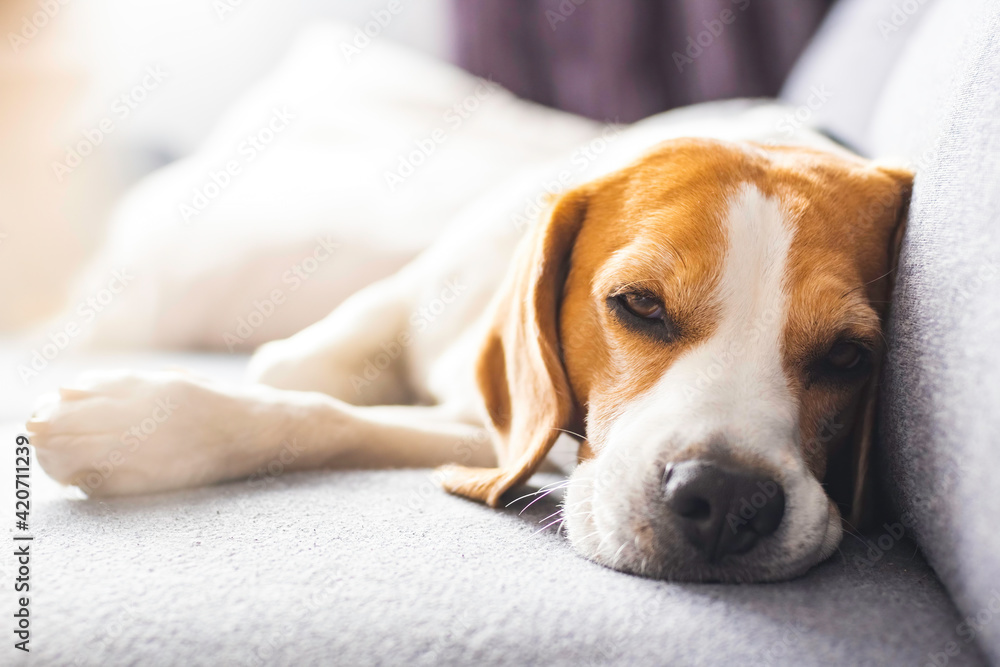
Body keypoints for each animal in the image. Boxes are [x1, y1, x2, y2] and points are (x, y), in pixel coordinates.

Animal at [27, 103, 912, 584]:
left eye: (849, 357)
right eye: (640, 305)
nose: (725, 500)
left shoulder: (506, 437)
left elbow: (322, 418)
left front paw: (149, 423)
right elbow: (297, 371)